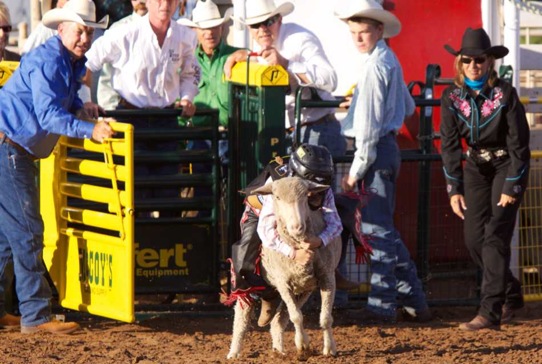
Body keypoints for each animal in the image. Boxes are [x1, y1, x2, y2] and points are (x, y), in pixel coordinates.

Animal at [227, 176, 342, 358]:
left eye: (305, 196)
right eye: (277, 197)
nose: (297, 227)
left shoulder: (327, 278)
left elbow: (325, 318)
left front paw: (329, 348)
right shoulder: (282, 282)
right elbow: (296, 317)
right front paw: (303, 344)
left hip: (303, 288)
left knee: (278, 320)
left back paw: (278, 350)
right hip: (250, 282)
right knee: (242, 315)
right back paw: (234, 352)